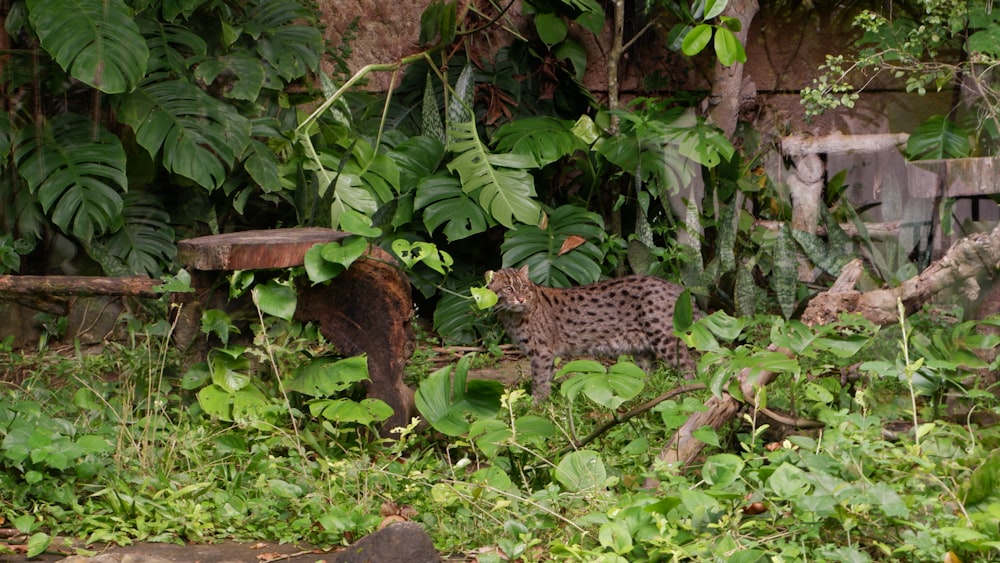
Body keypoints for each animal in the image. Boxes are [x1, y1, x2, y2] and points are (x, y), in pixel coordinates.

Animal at [488, 266, 700, 404]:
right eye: (508, 288)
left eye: (523, 287)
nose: (520, 298)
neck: (512, 315)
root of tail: (674, 286)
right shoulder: (545, 355)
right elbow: (546, 379)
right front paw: (546, 405)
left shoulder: (541, 352)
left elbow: (539, 381)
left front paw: (536, 407)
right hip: (642, 347)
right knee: (647, 374)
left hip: (663, 337)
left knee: (690, 366)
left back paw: (690, 392)